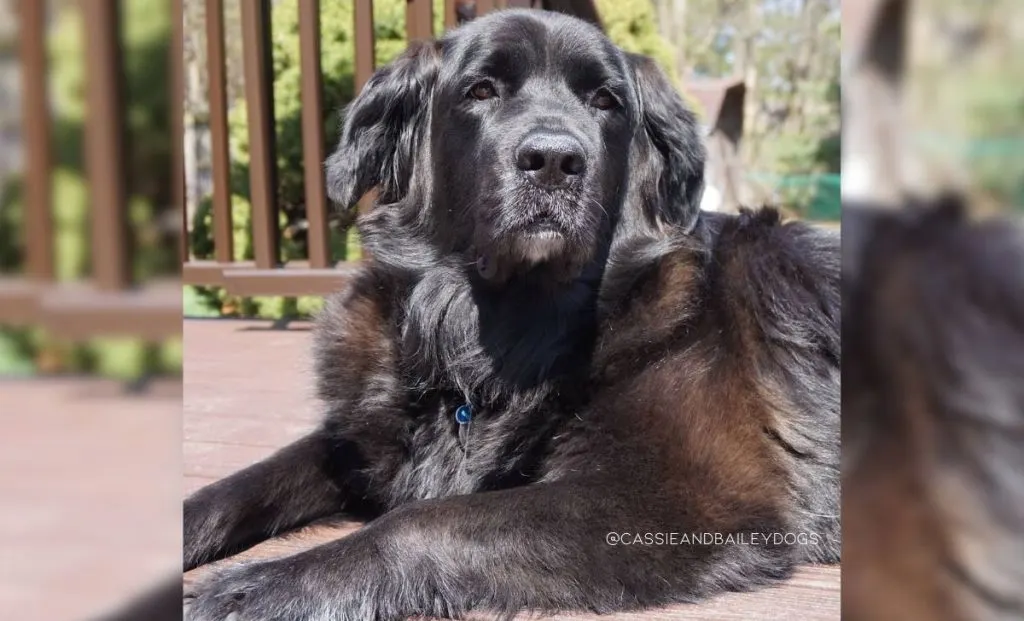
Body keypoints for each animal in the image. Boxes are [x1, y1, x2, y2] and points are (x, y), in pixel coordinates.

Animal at [184, 10, 839, 621]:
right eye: (481, 90)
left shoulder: (685, 494)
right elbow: (250, 479)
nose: (553, 160)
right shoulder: (357, 438)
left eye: (605, 102)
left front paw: (256, 588)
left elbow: (425, 520)